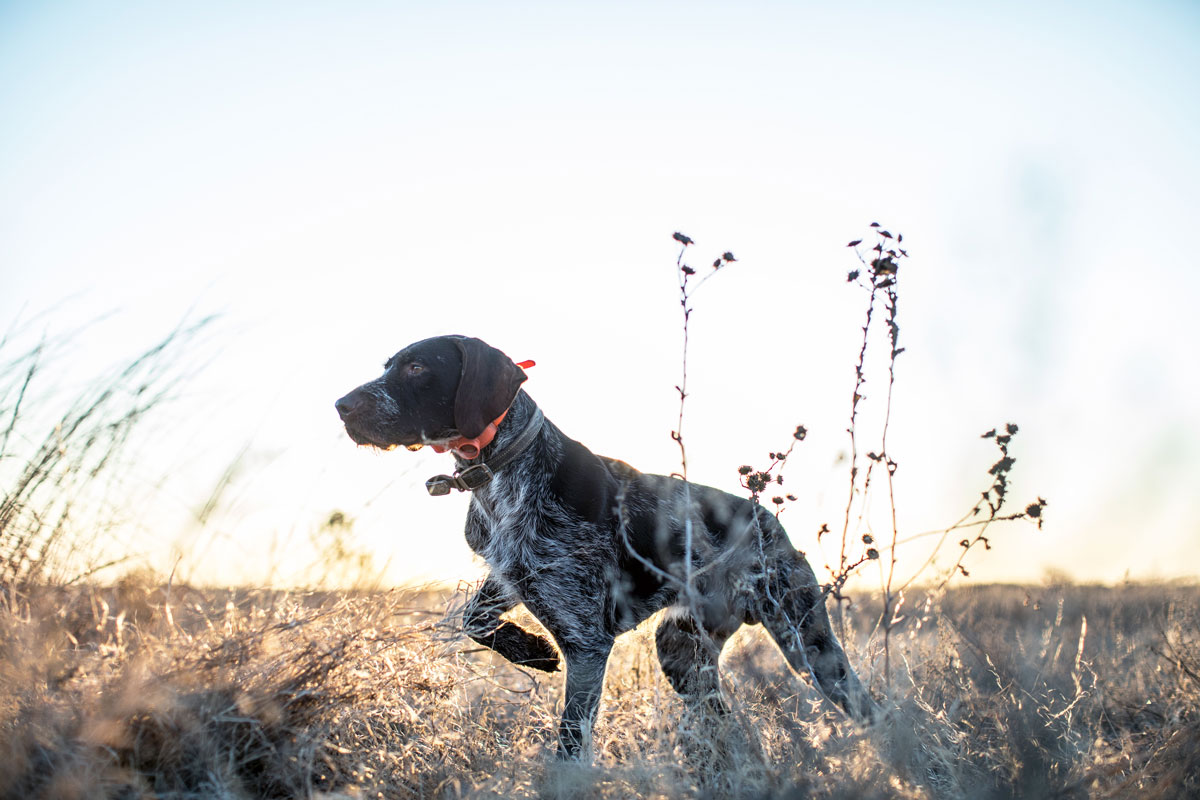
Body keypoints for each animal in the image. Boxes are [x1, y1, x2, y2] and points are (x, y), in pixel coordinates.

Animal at [333, 335, 878, 762]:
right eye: (390, 366)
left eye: (417, 367)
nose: (340, 405)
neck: (504, 471)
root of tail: (767, 519)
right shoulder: (513, 574)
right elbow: (473, 618)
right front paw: (531, 652)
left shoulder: (587, 643)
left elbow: (571, 745)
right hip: (682, 654)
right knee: (725, 726)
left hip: (805, 642)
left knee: (874, 709)